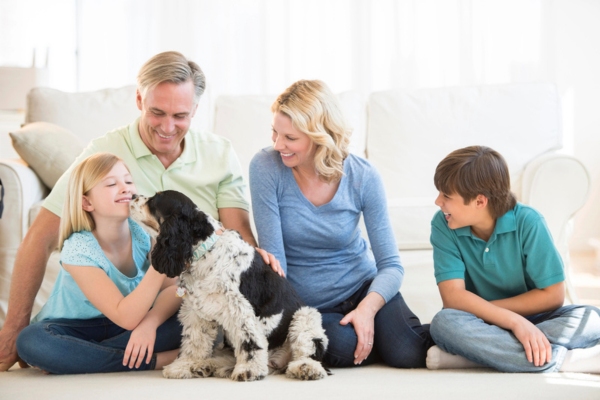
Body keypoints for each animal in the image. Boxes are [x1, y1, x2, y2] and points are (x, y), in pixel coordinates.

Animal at [129, 191, 330, 382]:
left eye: (155, 199)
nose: (132, 195)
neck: (205, 251)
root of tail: (276, 361)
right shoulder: (197, 311)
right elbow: (195, 341)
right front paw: (185, 365)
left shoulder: (239, 309)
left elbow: (249, 343)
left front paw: (249, 371)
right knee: (224, 358)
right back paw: (204, 367)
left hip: (304, 317)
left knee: (306, 354)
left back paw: (305, 369)